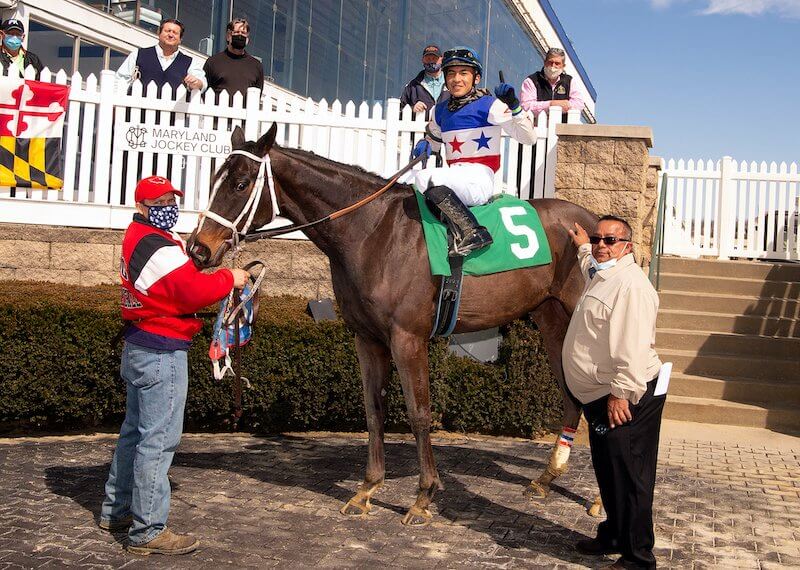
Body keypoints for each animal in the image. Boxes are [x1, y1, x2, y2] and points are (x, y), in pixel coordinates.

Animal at [188, 124, 596, 524]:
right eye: (215, 178)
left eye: (241, 183)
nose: (198, 248)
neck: (372, 231)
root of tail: (593, 220)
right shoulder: (366, 338)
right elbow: (373, 410)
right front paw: (367, 489)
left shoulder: (408, 338)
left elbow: (419, 413)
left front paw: (423, 496)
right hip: (552, 321)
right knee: (572, 395)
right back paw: (545, 478)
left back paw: (596, 502)